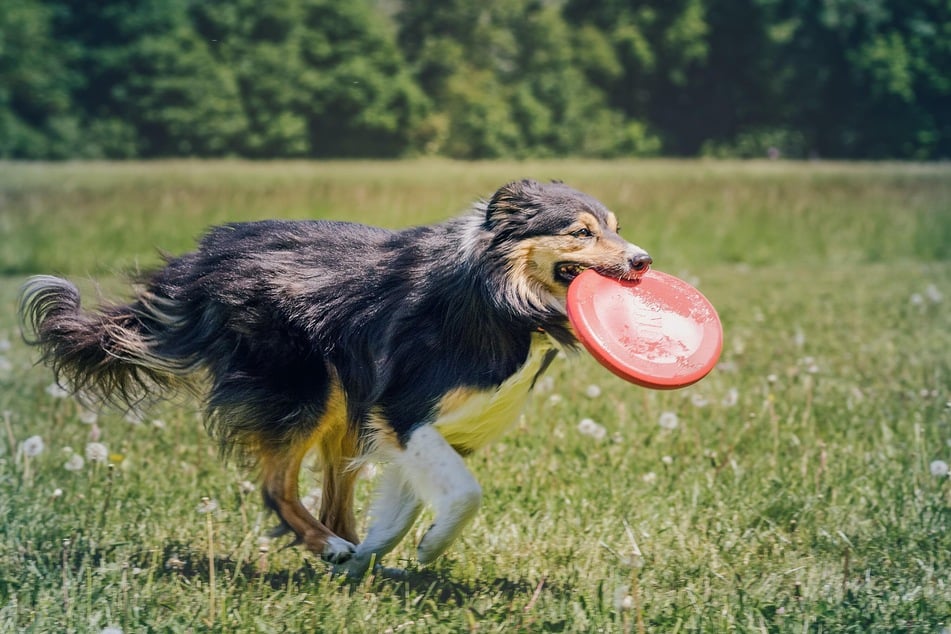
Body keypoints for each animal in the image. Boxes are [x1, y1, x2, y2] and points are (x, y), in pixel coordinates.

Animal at [18, 177, 652, 572]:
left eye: (618, 227)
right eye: (581, 231)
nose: (643, 260)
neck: (502, 296)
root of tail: (199, 263)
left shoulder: (423, 426)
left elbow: (406, 501)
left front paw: (389, 550)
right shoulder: (405, 407)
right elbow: (465, 494)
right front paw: (430, 549)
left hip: (344, 404)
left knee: (332, 498)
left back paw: (351, 555)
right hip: (306, 389)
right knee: (277, 487)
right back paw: (329, 550)